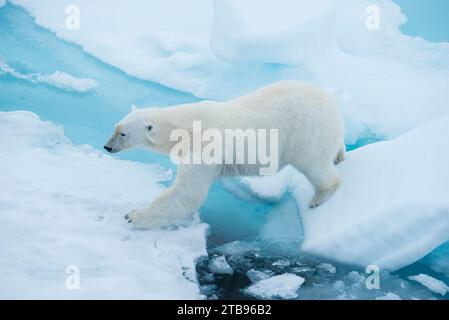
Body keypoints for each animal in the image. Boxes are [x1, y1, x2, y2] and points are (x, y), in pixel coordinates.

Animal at [104, 80, 344, 230]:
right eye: (115, 127)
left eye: (123, 133)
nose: (107, 147)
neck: (185, 127)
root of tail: (331, 102)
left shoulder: (204, 149)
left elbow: (187, 193)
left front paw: (133, 215)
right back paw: (339, 154)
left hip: (306, 133)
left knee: (315, 165)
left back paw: (319, 196)